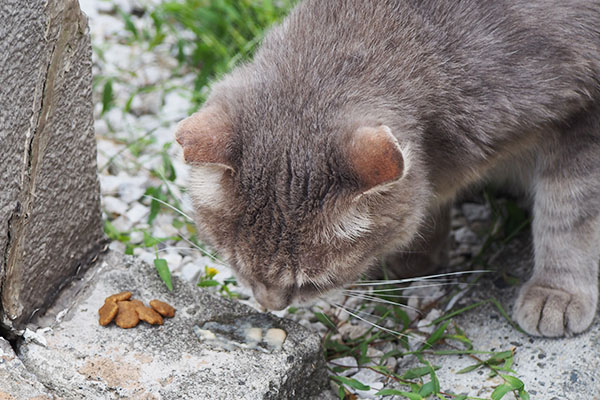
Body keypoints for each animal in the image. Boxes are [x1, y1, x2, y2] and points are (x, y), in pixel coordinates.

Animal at [175, 0, 600, 338]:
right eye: (235, 263)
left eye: (311, 282)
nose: (269, 305)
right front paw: (417, 258)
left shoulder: (583, 113)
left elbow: (567, 214)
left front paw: (556, 291)